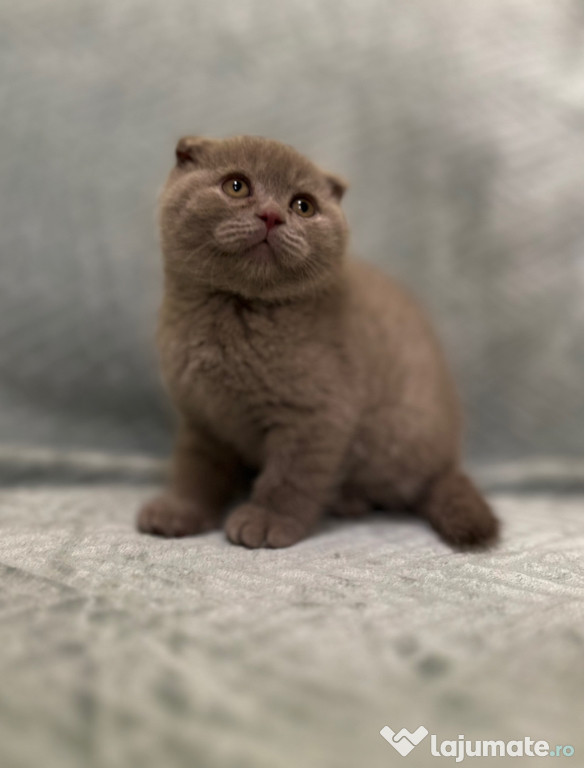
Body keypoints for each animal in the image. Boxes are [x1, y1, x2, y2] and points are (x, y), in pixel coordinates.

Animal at [137, 135, 498, 548]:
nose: (272, 215)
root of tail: (449, 461)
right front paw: (178, 510)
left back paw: (346, 501)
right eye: (236, 186)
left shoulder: (315, 416)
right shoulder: (201, 415)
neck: (232, 314)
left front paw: (266, 520)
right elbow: (194, 468)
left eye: (303, 206)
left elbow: (289, 476)